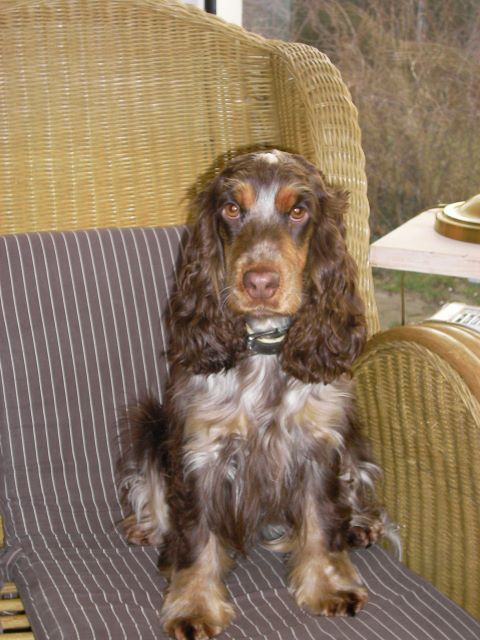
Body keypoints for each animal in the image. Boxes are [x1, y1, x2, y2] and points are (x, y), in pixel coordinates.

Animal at [119, 149, 395, 640]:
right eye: (232, 209)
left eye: (299, 211)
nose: (260, 282)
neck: (265, 348)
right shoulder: (200, 451)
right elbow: (196, 537)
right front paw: (194, 605)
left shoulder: (320, 444)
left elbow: (323, 519)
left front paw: (329, 585)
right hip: (150, 420)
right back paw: (147, 526)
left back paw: (361, 523)